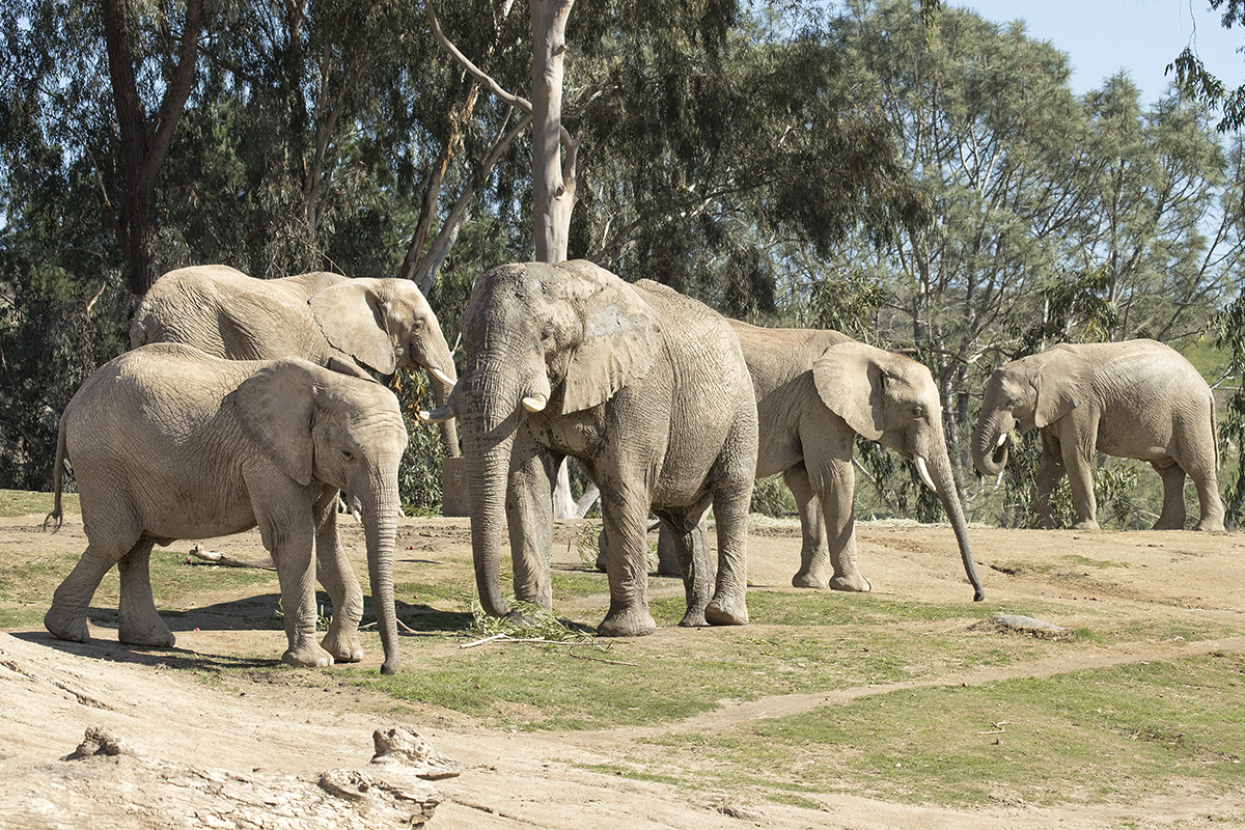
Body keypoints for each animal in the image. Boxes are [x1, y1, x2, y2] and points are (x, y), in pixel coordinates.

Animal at [43, 343, 410, 673]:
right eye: (348, 453)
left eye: (403, 452)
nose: (386, 668)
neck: (323, 384)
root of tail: (72, 404)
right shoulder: (266, 459)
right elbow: (294, 539)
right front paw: (314, 662)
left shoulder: (311, 465)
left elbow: (325, 542)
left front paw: (348, 654)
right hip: (101, 459)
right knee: (116, 539)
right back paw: (68, 633)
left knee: (137, 547)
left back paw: (149, 641)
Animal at [422, 260, 759, 637]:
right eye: (464, 332)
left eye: (547, 334)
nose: (504, 610)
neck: (569, 280)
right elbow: (527, 483)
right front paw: (531, 622)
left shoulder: (640, 385)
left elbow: (623, 479)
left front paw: (625, 631)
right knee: (681, 517)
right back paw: (694, 620)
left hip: (741, 409)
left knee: (731, 494)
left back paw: (724, 617)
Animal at [972, 339, 1224, 532]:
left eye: (1012, 402)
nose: (1006, 437)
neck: (1041, 362)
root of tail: (1206, 388)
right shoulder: (1055, 408)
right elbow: (1054, 460)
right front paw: (1052, 525)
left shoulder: (1084, 404)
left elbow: (1075, 454)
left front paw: (1082, 528)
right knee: (1169, 471)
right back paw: (1163, 528)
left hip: (1190, 416)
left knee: (1197, 466)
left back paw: (1205, 529)